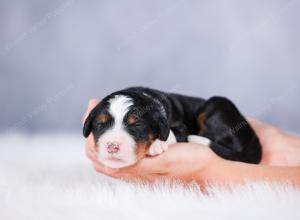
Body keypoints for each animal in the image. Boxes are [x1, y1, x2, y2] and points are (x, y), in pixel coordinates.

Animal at [83, 87, 262, 168]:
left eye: (138, 125)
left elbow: (170, 133)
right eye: (100, 124)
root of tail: (254, 139)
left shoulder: (181, 128)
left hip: (217, 104)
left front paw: (156, 144)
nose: (112, 146)